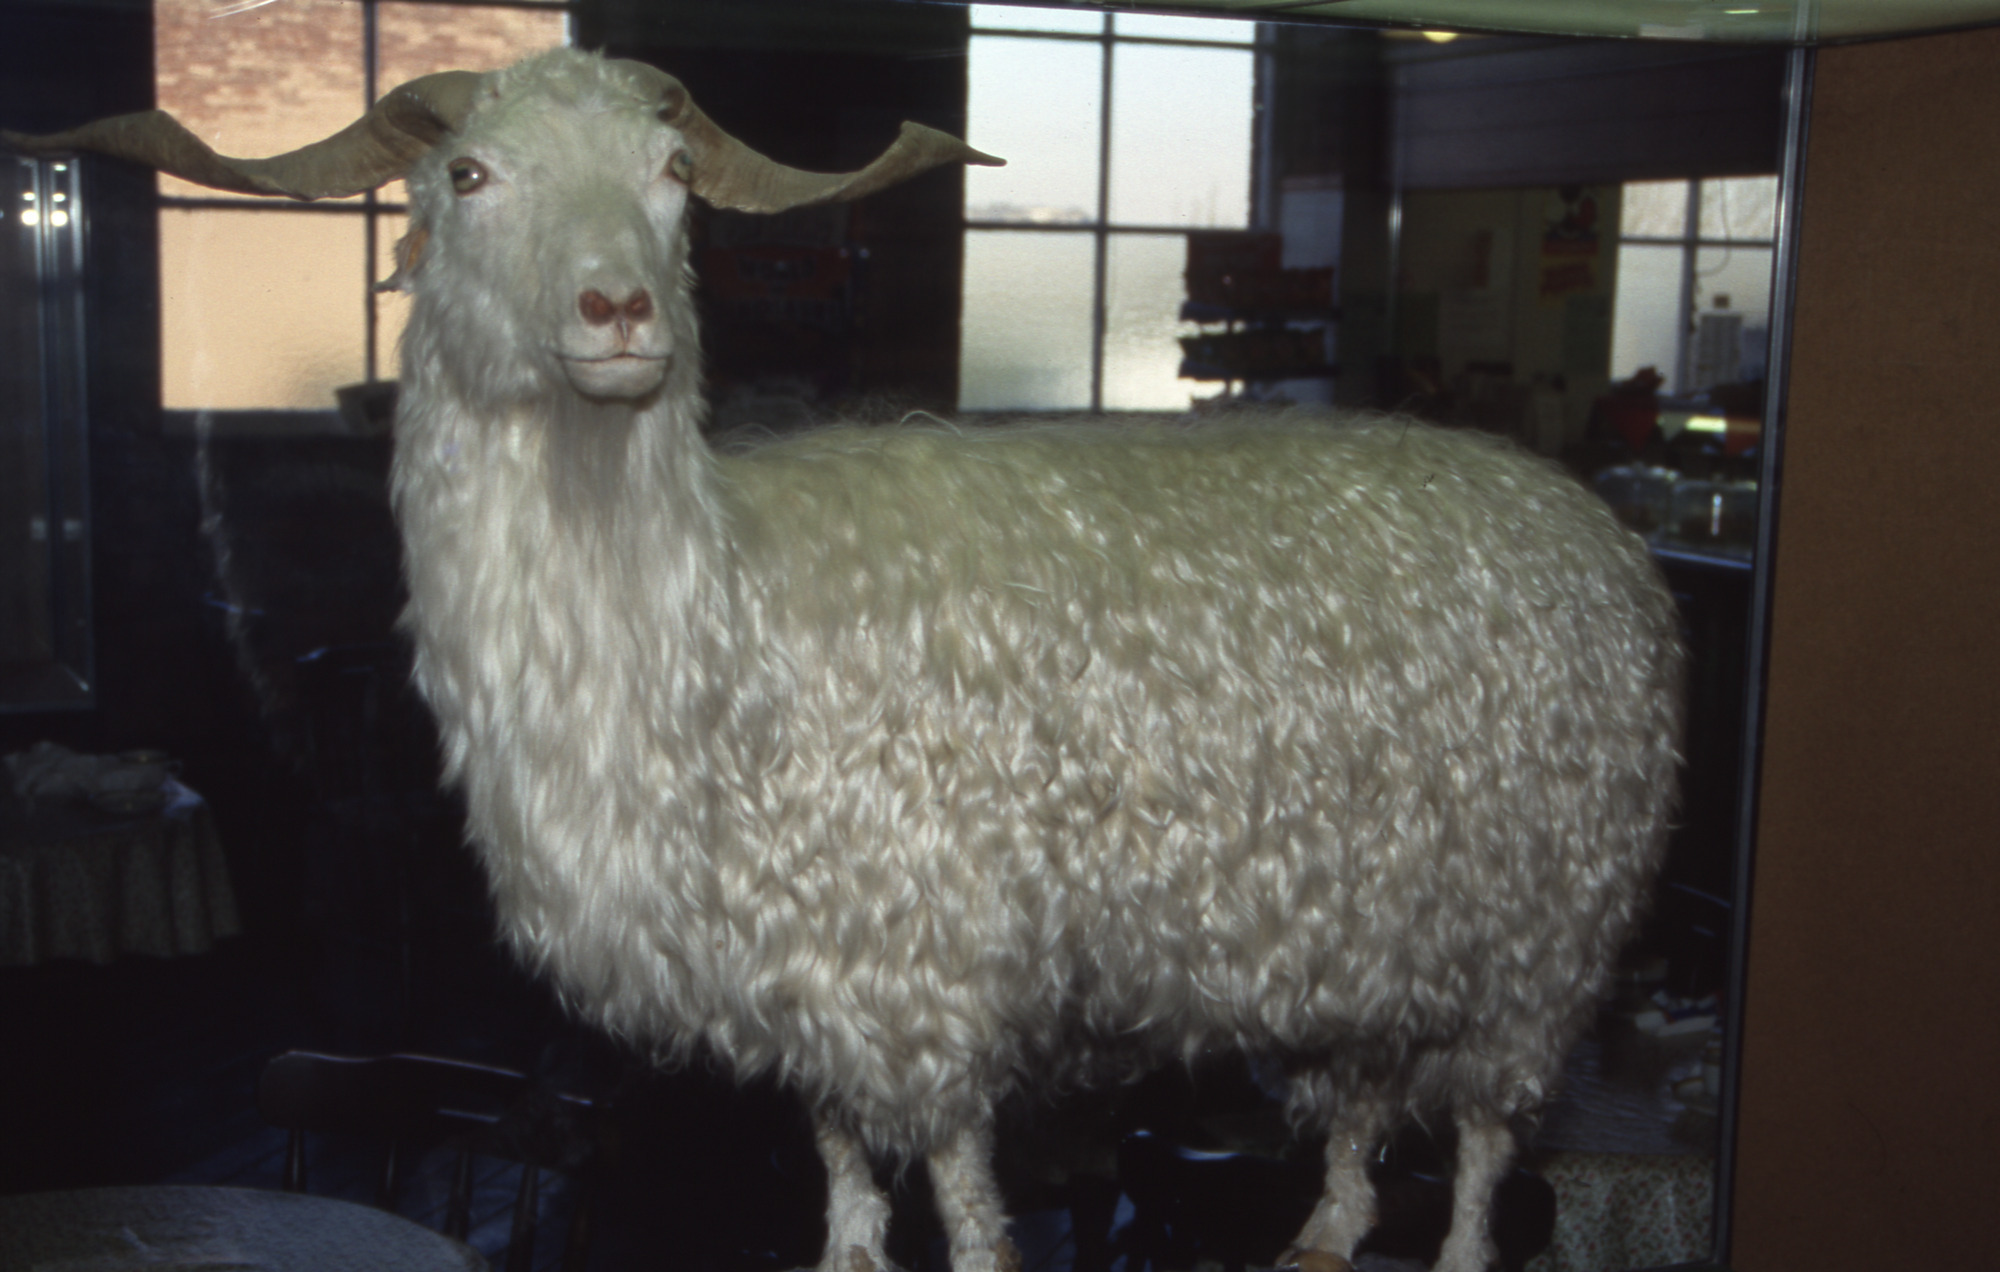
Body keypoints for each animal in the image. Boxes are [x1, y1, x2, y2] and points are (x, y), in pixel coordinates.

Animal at [8, 47, 1683, 1272]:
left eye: (674, 178)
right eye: (467, 177)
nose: (618, 315)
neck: (720, 619)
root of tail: (1590, 528)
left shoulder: (927, 970)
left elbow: (974, 1214)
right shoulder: (804, 983)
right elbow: (842, 1192)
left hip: (1542, 932)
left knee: (1485, 1148)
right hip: (1378, 934)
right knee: (1364, 1105)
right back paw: (1324, 1234)